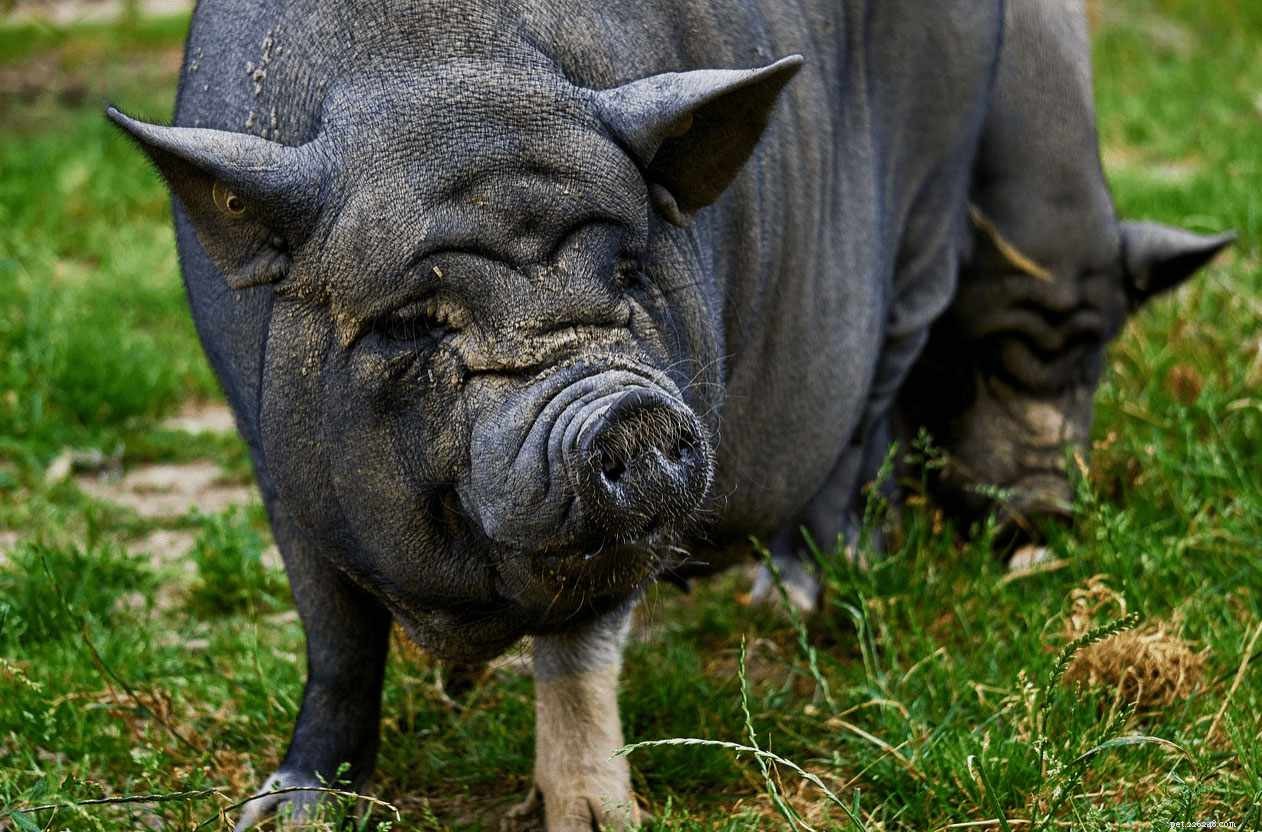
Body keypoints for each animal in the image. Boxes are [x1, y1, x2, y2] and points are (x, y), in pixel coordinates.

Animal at [108, 0, 1004, 827]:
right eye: (414, 321)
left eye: (631, 269)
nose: (626, 410)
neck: (442, 67)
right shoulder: (277, 467)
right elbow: (338, 640)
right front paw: (287, 810)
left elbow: (580, 649)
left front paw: (598, 818)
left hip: (926, 225)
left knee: (866, 420)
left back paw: (799, 591)